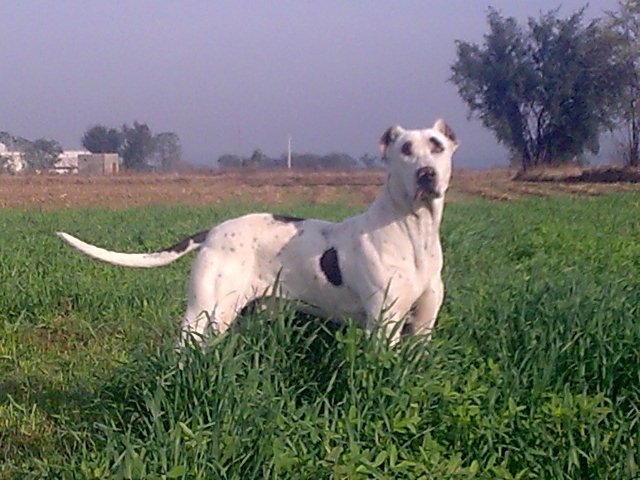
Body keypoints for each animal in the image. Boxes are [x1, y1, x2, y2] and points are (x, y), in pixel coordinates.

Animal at [58, 120, 456, 344]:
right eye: (405, 150)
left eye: (437, 147)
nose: (426, 174)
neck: (413, 232)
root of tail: (214, 231)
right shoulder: (384, 325)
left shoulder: (422, 327)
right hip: (205, 311)